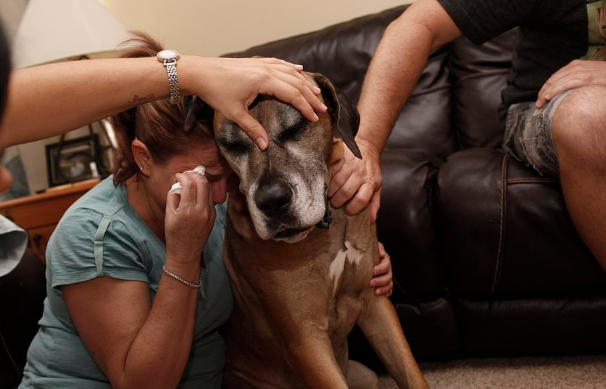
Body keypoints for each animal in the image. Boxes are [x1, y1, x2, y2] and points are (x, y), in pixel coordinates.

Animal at [185, 73, 428, 388]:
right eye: (233, 145)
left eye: (297, 127)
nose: (272, 201)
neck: (325, 231)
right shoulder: (306, 338)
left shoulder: (374, 302)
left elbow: (411, 373)